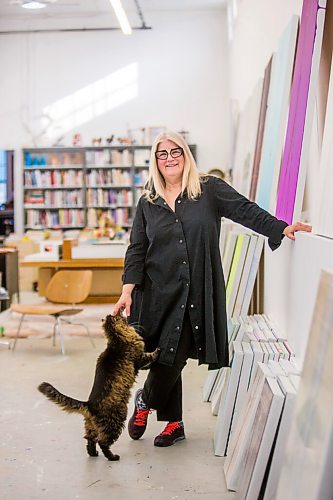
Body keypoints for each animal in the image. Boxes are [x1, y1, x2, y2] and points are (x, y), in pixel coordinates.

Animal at [37, 312, 160, 460]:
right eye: (122, 318)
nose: (124, 313)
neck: (116, 339)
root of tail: (89, 404)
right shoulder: (139, 359)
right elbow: (150, 357)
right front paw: (158, 350)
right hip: (116, 420)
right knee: (102, 442)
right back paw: (112, 457)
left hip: (91, 426)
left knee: (90, 439)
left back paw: (93, 454)